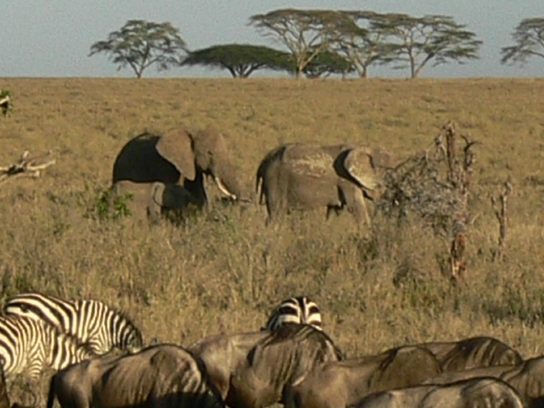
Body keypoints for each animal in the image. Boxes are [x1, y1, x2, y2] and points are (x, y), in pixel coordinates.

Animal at [255, 143, 392, 224]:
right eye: (387, 172)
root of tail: (263, 162)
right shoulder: (346, 180)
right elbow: (356, 208)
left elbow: (335, 211)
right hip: (276, 181)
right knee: (277, 214)